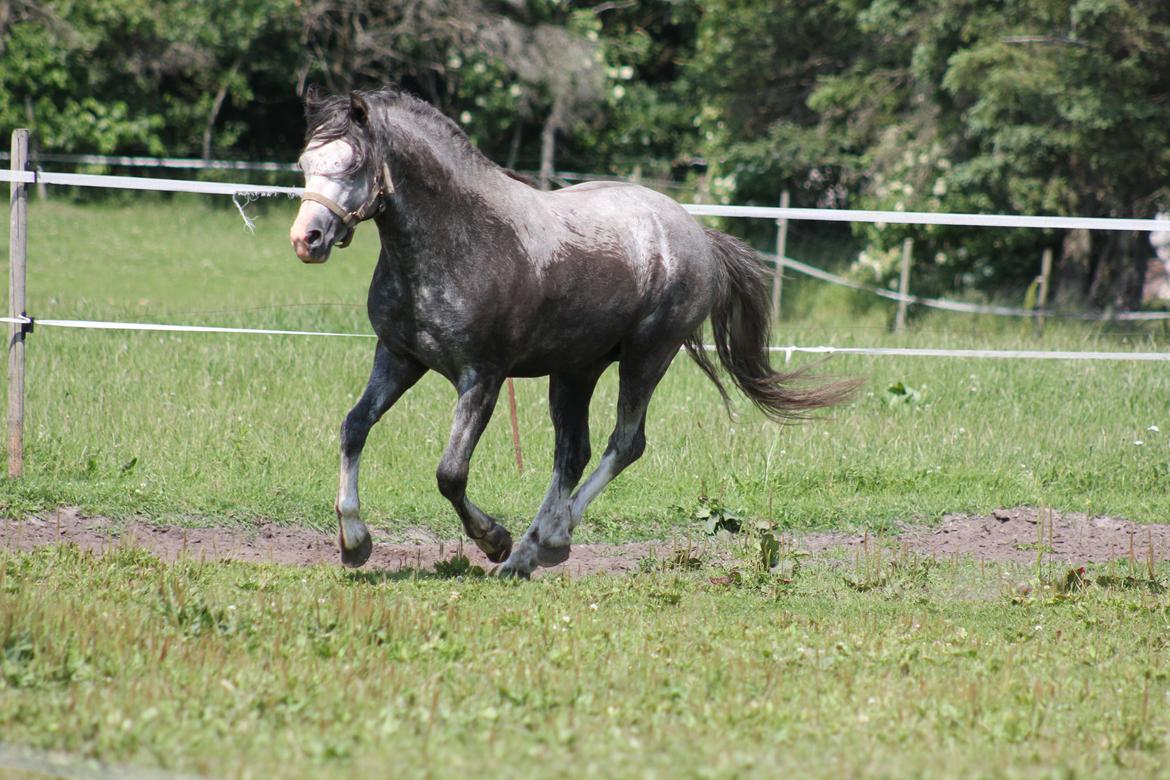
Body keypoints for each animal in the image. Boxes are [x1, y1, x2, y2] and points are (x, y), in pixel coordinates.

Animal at [289, 86, 858, 578]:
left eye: (354, 164)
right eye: (305, 164)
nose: (306, 239)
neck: (458, 239)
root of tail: (697, 232)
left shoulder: (482, 376)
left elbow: (450, 473)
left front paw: (492, 539)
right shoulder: (398, 358)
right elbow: (354, 427)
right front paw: (355, 543)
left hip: (647, 357)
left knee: (624, 444)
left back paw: (546, 544)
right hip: (576, 370)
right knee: (573, 453)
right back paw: (527, 555)